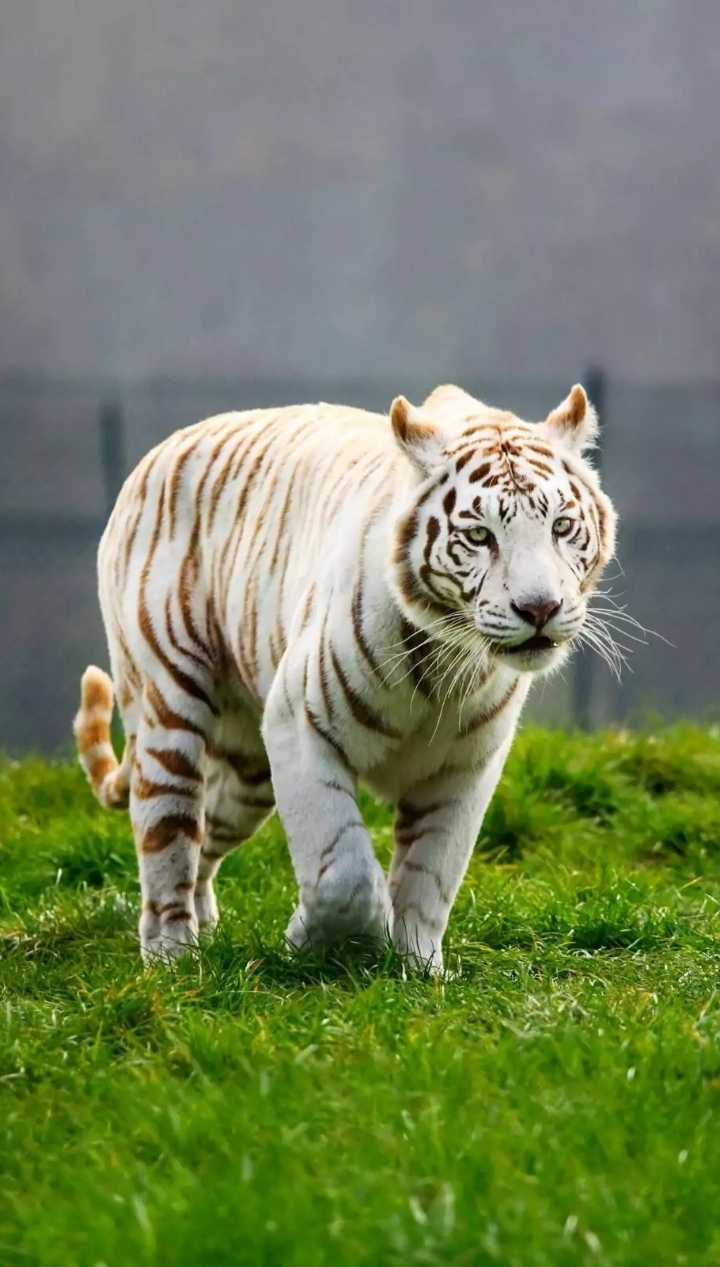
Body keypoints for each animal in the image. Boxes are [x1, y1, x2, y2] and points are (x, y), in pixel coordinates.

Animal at [74, 382, 616, 973]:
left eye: (561, 526)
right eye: (479, 535)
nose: (540, 608)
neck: (446, 661)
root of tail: (155, 454)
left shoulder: (466, 764)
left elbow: (431, 876)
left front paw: (417, 967)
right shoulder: (299, 725)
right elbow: (344, 871)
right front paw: (315, 940)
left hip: (248, 772)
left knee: (206, 835)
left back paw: (206, 930)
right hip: (170, 709)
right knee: (169, 838)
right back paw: (173, 957)